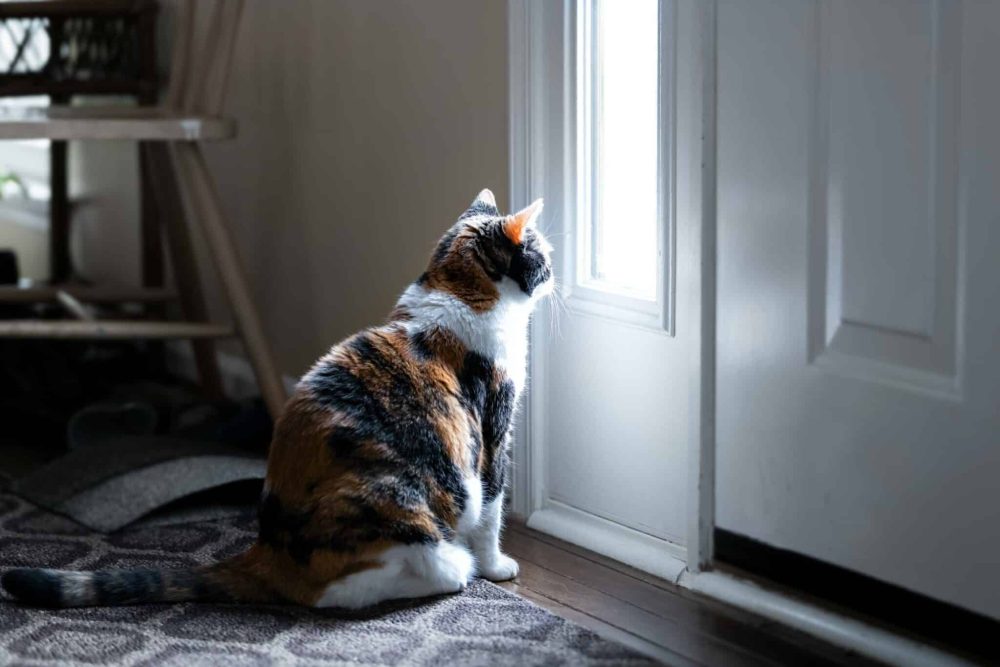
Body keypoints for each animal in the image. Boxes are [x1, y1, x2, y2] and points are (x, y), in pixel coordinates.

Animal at [1, 188, 556, 612]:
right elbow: (491, 509)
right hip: (401, 504)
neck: (460, 291)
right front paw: (496, 566)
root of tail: (266, 552)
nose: (555, 272)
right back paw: (453, 570)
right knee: (340, 592)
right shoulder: (492, 432)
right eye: (543, 253)